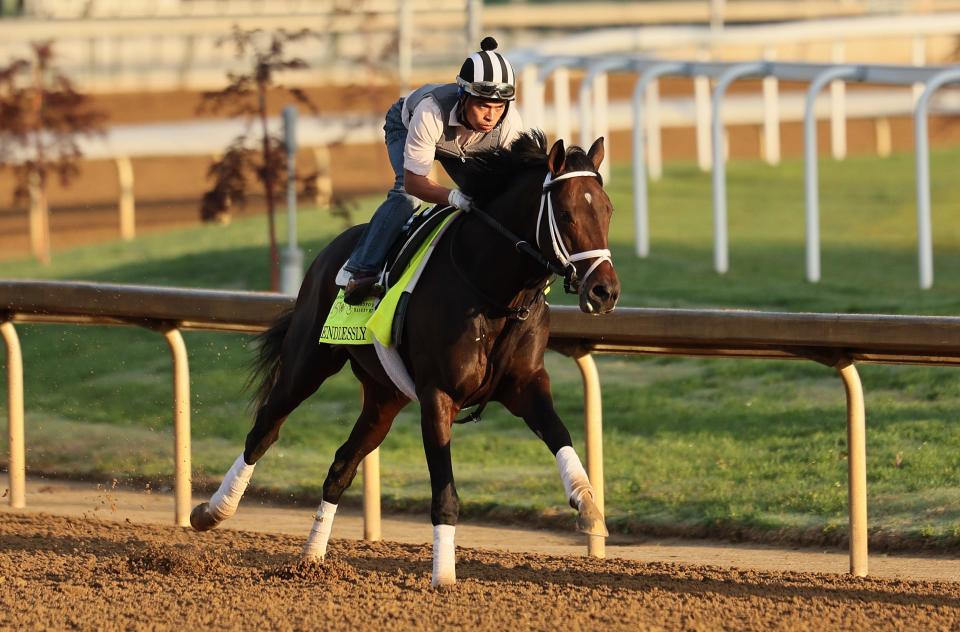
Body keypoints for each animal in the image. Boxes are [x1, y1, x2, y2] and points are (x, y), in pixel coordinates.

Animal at [188, 131, 624, 592]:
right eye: (566, 214)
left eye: (608, 209)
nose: (604, 291)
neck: (492, 291)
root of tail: (332, 250)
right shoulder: (438, 395)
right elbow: (445, 493)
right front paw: (444, 576)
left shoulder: (525, 383)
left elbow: (559, 434)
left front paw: (587, 505)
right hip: (307, 362)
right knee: (264, 431)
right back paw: (212, 512)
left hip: (385, 397)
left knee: (342, 463)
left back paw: (310, 559)